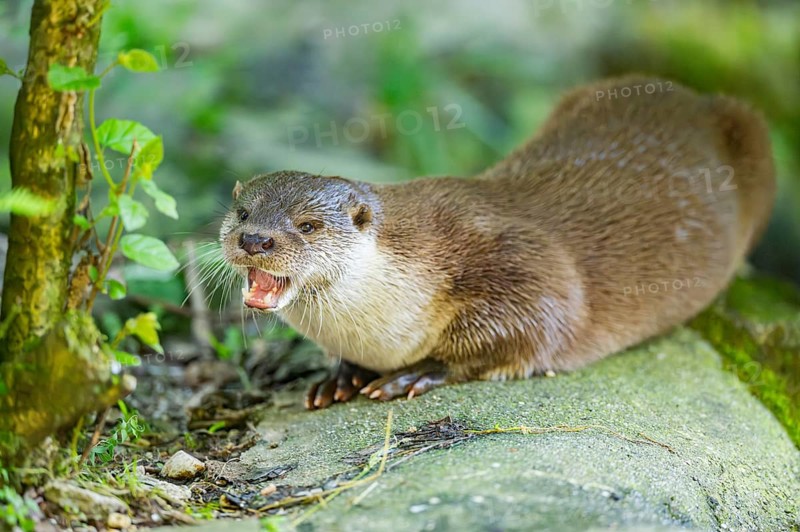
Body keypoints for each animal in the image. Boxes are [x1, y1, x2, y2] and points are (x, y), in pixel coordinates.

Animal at [220, 76, 774, 410]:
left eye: (307, 225)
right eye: (242, 212)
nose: (255, 239)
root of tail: (695, 99)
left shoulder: (523, 265)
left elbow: (525, 330)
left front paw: (417, 372)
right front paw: (340, 376)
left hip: (753, 135)